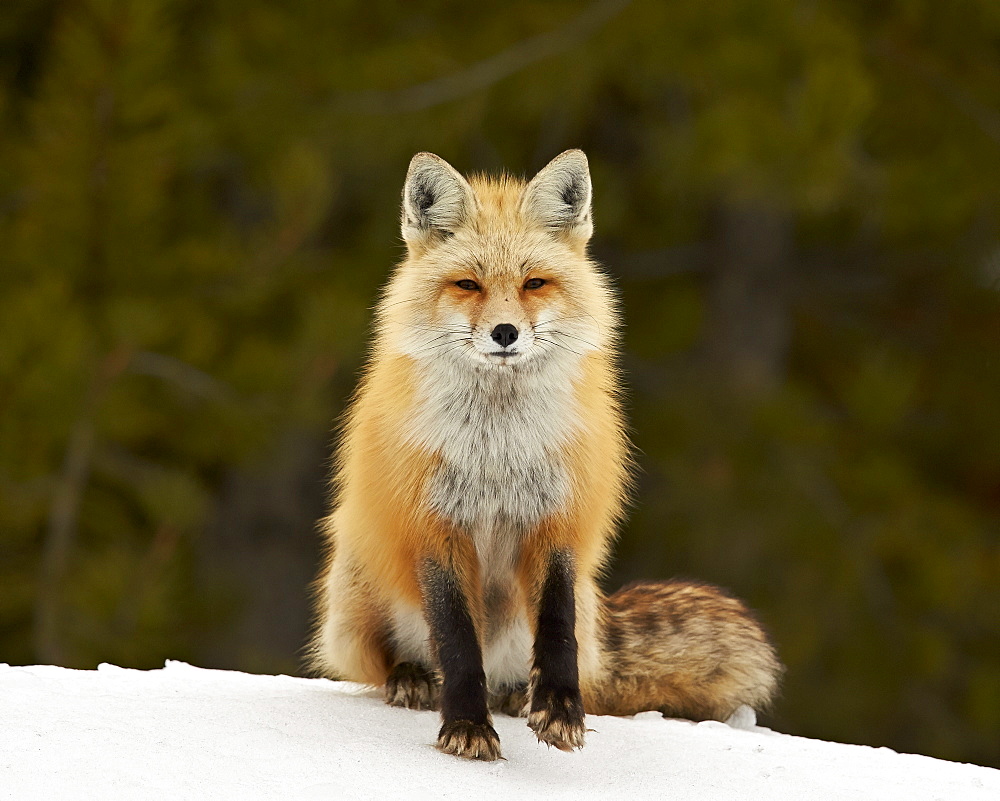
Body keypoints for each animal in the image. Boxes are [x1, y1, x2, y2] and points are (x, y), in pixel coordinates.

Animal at [308, 152, 784, 764]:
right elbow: (457, 643)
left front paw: (559, 711)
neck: (497, 449)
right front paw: (466, 727)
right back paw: (411, 677)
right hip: (354, 593)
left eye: (534, 283)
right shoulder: (433, 526)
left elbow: (556, 629)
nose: (505, 332)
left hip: (575, 604)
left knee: (541, 661)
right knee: (395, 663)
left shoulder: (559, 518)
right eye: (468, 284)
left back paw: (517, 695)